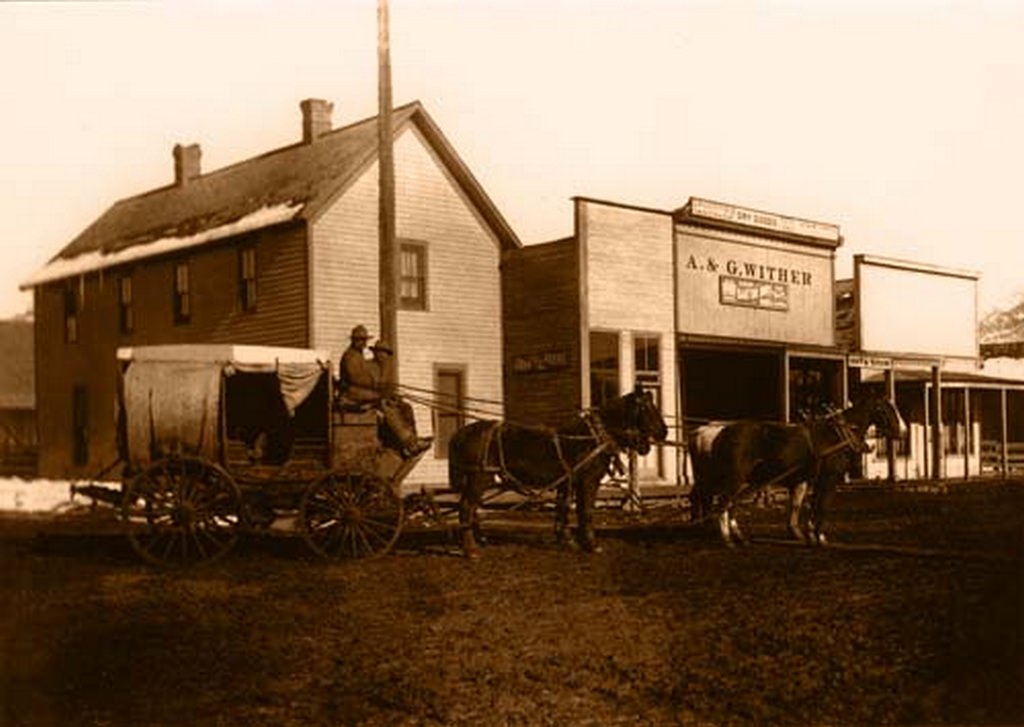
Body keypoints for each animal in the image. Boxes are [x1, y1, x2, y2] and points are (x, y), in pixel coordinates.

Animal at [448, 385, 671, 561]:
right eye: (647, 408)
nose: (664, 431)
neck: (593, 437)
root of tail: (461, 433)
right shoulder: (588, 480)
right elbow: (585, 510)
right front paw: (590, 544)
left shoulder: (568, 482)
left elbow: (562, 508)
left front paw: (566, 538)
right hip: (480, 477)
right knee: (467, 507)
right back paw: (471, 550)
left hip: (476, 479)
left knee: (469, 507)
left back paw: (475, 540)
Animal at [688, 399, 905, 548]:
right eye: (887, 409)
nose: (903, 432)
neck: (836, 436)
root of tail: (721, 431)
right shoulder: (828, 479)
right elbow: (821, 506)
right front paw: (819, 537)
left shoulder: (809, 480)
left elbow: (806, 505)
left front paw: (809, 534)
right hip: (735, 479)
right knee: (722, 504)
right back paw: (727, 539)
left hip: (739, 481)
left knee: (726, 504)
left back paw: (736, 537)